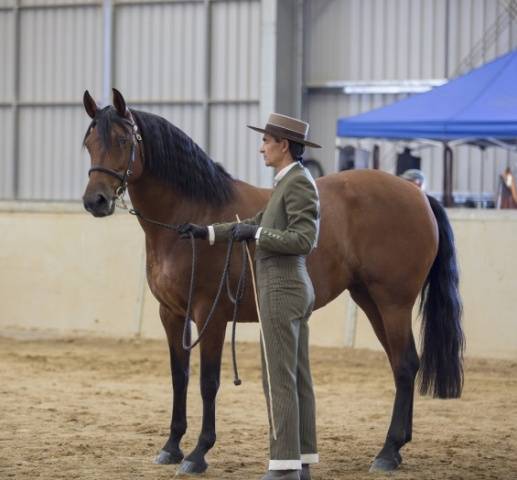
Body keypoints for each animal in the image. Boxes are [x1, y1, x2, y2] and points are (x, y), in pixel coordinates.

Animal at [81, 88, 464, 474]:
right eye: (88, 142)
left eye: (123, 139)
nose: (95, 201)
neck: (190, 216)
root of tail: (418, 195)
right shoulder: (171, 314)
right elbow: (180, 377)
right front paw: (172, 446)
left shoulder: (210, 315)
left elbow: (208, 382)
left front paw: (198, 453)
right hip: (369, 300)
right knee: (404, 364)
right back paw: (397, 449)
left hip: (393, 302)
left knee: (405, 364)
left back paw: (387, 451)